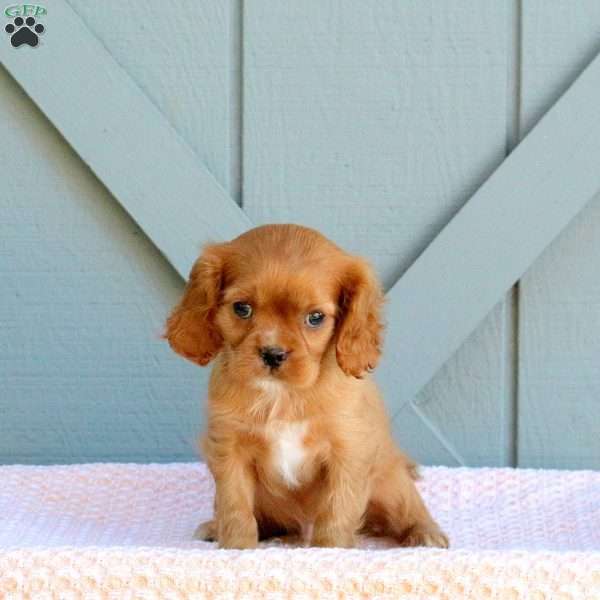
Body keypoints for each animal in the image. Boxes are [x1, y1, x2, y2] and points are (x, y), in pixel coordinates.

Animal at [166, 224, 448, 548]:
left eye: (315, 318)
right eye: (242, 309)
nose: (273, 354)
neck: (282, 395)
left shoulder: (347, 451)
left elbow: (337, 509)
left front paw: (329, 549)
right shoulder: (229, 448)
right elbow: (234, 506)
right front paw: (237, 546)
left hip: (391, 485)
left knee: (409, 509)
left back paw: (426, 533)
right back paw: (216, 528)